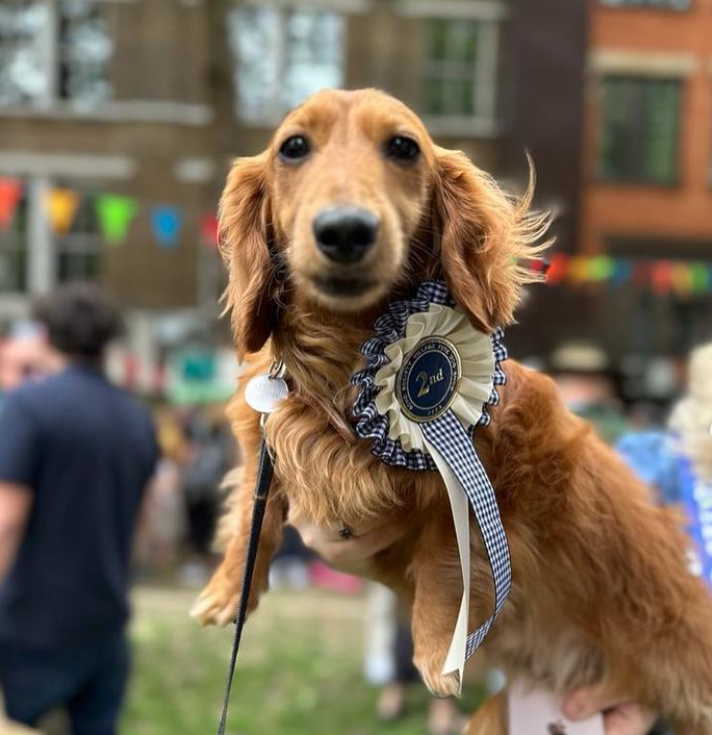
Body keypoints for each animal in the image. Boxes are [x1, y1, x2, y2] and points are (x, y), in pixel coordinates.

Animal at [192, 89, 712, 732]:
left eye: (402, 146)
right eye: (293, 147)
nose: (346, 231)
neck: (349, 364)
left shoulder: (478, 475)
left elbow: (445, 558)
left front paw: (439, 648)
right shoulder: (263, 439)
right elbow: (252, 513)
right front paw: (227, 588)